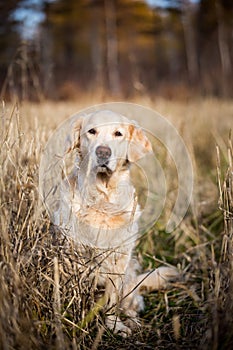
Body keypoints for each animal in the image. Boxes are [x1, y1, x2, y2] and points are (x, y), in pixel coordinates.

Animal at [54, 110, 178, 338]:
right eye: (91, 131)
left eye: (118, 133)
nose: (103, 152)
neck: (102, 198)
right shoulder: (70, 254)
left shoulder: (119, 258)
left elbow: (112, 300)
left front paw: (115, 326)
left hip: (130, 276)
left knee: (132, 303)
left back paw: (133, 321)